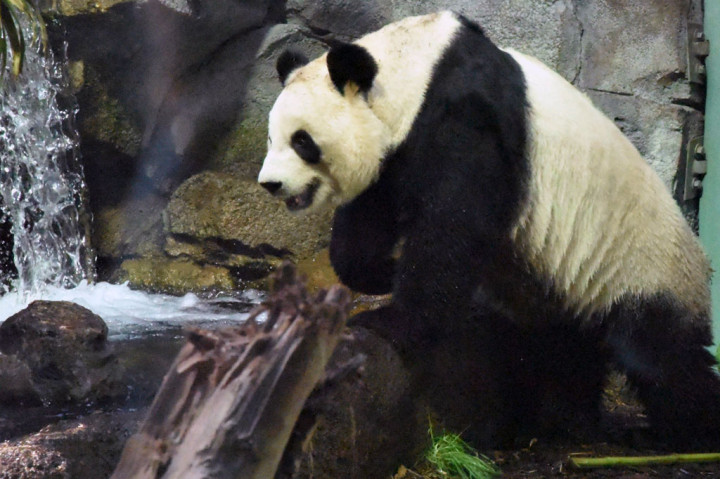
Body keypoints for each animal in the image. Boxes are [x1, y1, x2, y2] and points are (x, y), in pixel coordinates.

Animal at [258, 11, 720, 448]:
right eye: (271, 138)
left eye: (302, 141)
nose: (271, 184)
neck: (414, 69)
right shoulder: (395, 156)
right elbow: (367, 222)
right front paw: (382, 273)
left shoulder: (466, 118)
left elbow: (452, 227)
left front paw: (389, 319)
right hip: (566, 284)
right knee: (564, 349)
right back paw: (563, 421)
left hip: (642, 266)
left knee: (660, 355)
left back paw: (680, 434)